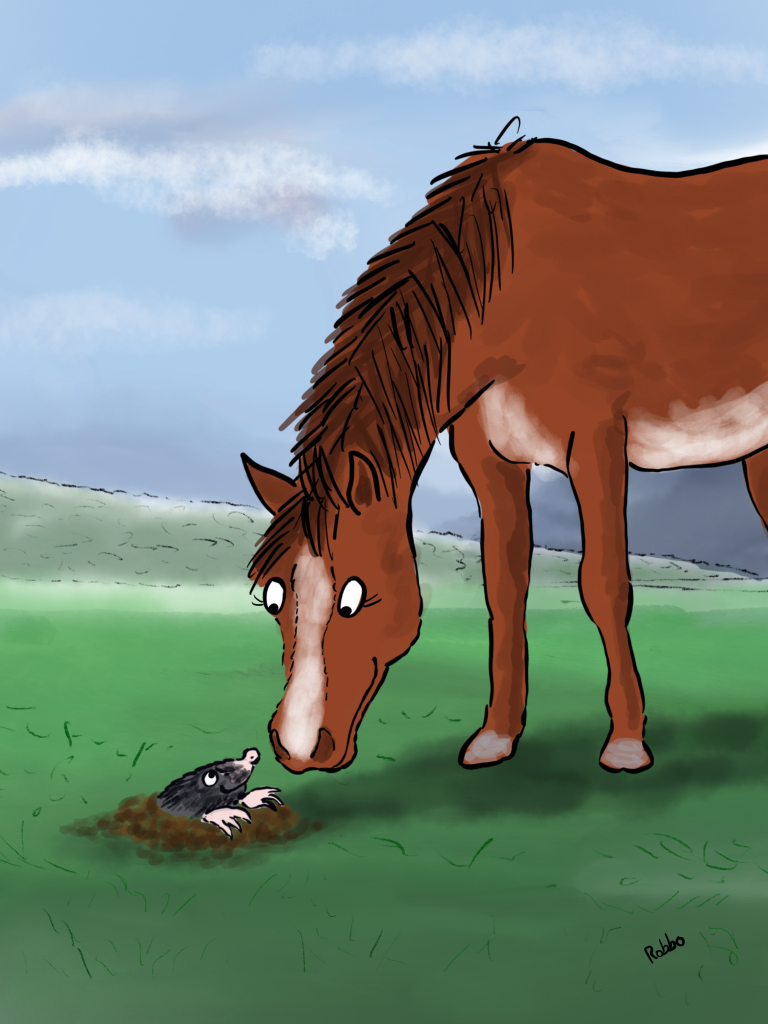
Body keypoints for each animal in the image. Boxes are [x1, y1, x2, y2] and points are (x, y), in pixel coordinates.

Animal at [241, 125, 768, 776]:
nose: (296, 749)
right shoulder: (488, 461)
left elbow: (604, 586)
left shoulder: (596, 444)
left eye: (353, 597)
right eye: (272, 598)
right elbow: (503, 588)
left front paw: (625, 743)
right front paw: (496, 736)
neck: (508, 294)